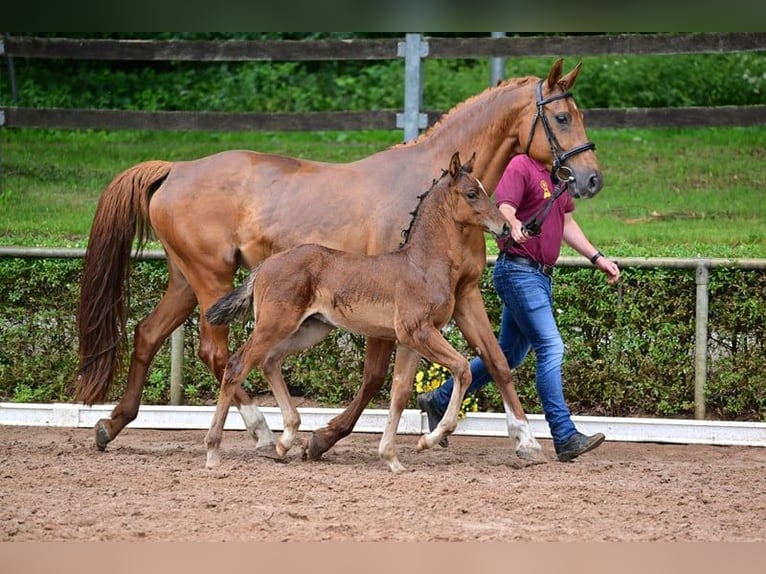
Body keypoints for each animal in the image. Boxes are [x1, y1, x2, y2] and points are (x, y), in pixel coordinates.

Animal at [203, 151, 540, 472]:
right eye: (471, 193)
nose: (505, 227)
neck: (422, 263)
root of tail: (264, 266)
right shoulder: (418, 331)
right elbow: (462, 368)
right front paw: (428, 440)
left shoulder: (410, 340)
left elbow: (400, 392)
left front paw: (392, 458)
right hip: (274, 325)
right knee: (237, 365)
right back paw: (214, 451)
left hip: (310, 328)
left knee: (270, 361)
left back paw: (286, 440)